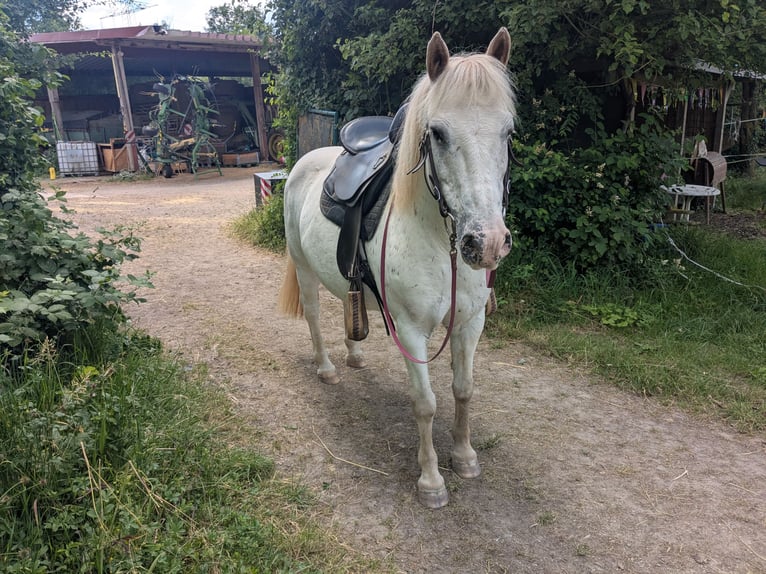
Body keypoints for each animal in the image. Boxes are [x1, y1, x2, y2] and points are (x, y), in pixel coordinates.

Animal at [278, 28, 516, 508]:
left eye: (508, 131)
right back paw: (327, 368)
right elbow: (425, 403)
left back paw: (354, 356)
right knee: (313, 315)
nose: (485, 243)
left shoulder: (470, 324)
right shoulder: (410, 331)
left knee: (347, 306)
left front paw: (465, 457)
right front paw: (431, 481)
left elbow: (463, 390)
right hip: (304, 268)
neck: (439, 242)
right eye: (437, 133)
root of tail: (305, 161)